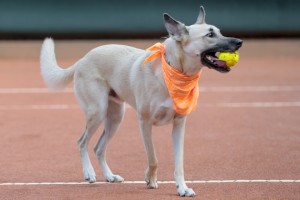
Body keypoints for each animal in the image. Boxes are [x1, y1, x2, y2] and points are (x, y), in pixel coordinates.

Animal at [39, 5, 243, 197]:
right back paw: (89, 173)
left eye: (220, 32)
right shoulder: (144, 122)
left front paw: (182, 188)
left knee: (98, 148)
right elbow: (153, 158)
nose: (239, 42)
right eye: (210, 34)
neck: (172, 71)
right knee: (81, 142)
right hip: (97, 112)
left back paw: (110, 176)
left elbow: (179, 164)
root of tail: (82, 59)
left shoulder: (179, 126)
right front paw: (150, 179)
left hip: (115, 118)